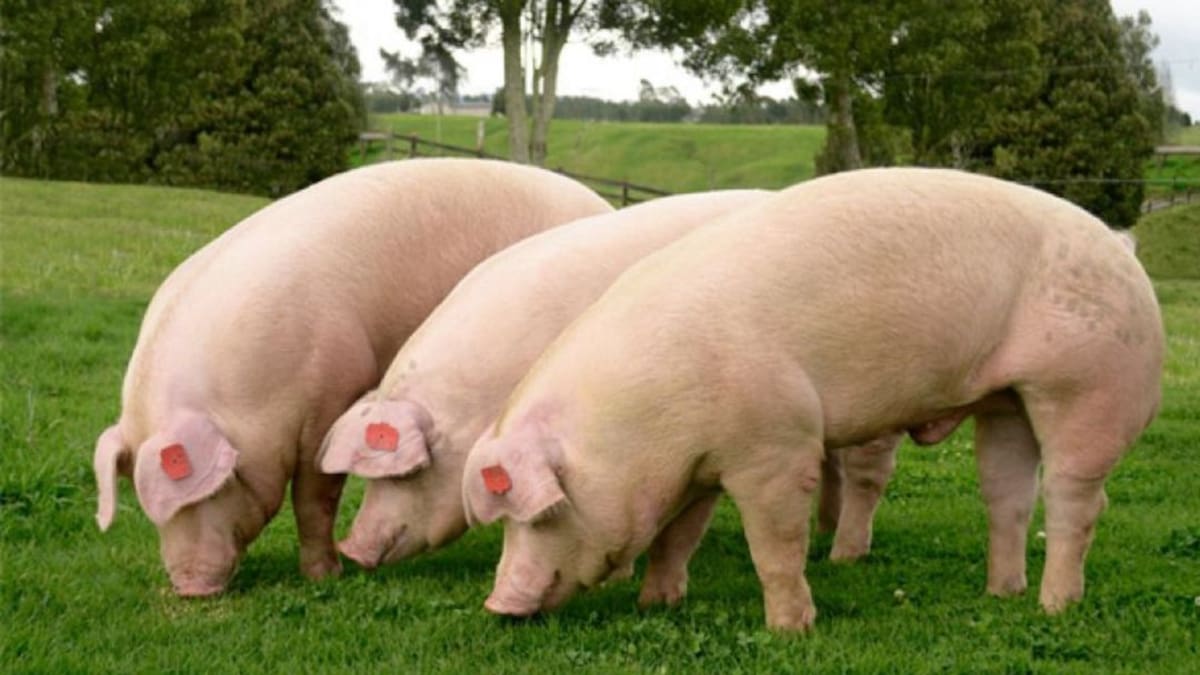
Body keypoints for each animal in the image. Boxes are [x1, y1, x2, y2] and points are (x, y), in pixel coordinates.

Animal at [93, 159, 612, 596]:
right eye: (145, 504)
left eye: (213, 488)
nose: (189, 587)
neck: (252, 393)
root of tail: (600, 202)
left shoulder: (329, 393)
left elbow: (314, 496)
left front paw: (324, 576)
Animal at [462, 168, 1163, 631]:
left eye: (542, 515)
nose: (497, 603)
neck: (644, 419)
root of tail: (1121, 245)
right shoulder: (700, 465)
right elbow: (677, 537)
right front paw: (656, 603)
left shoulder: (776, 446)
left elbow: (775, 547)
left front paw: (789, 630)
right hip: (1006, 399)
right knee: (1009, 495)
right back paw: (1001, 595)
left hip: (1092, 385)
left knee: (1077, 500)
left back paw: (1055, 605)